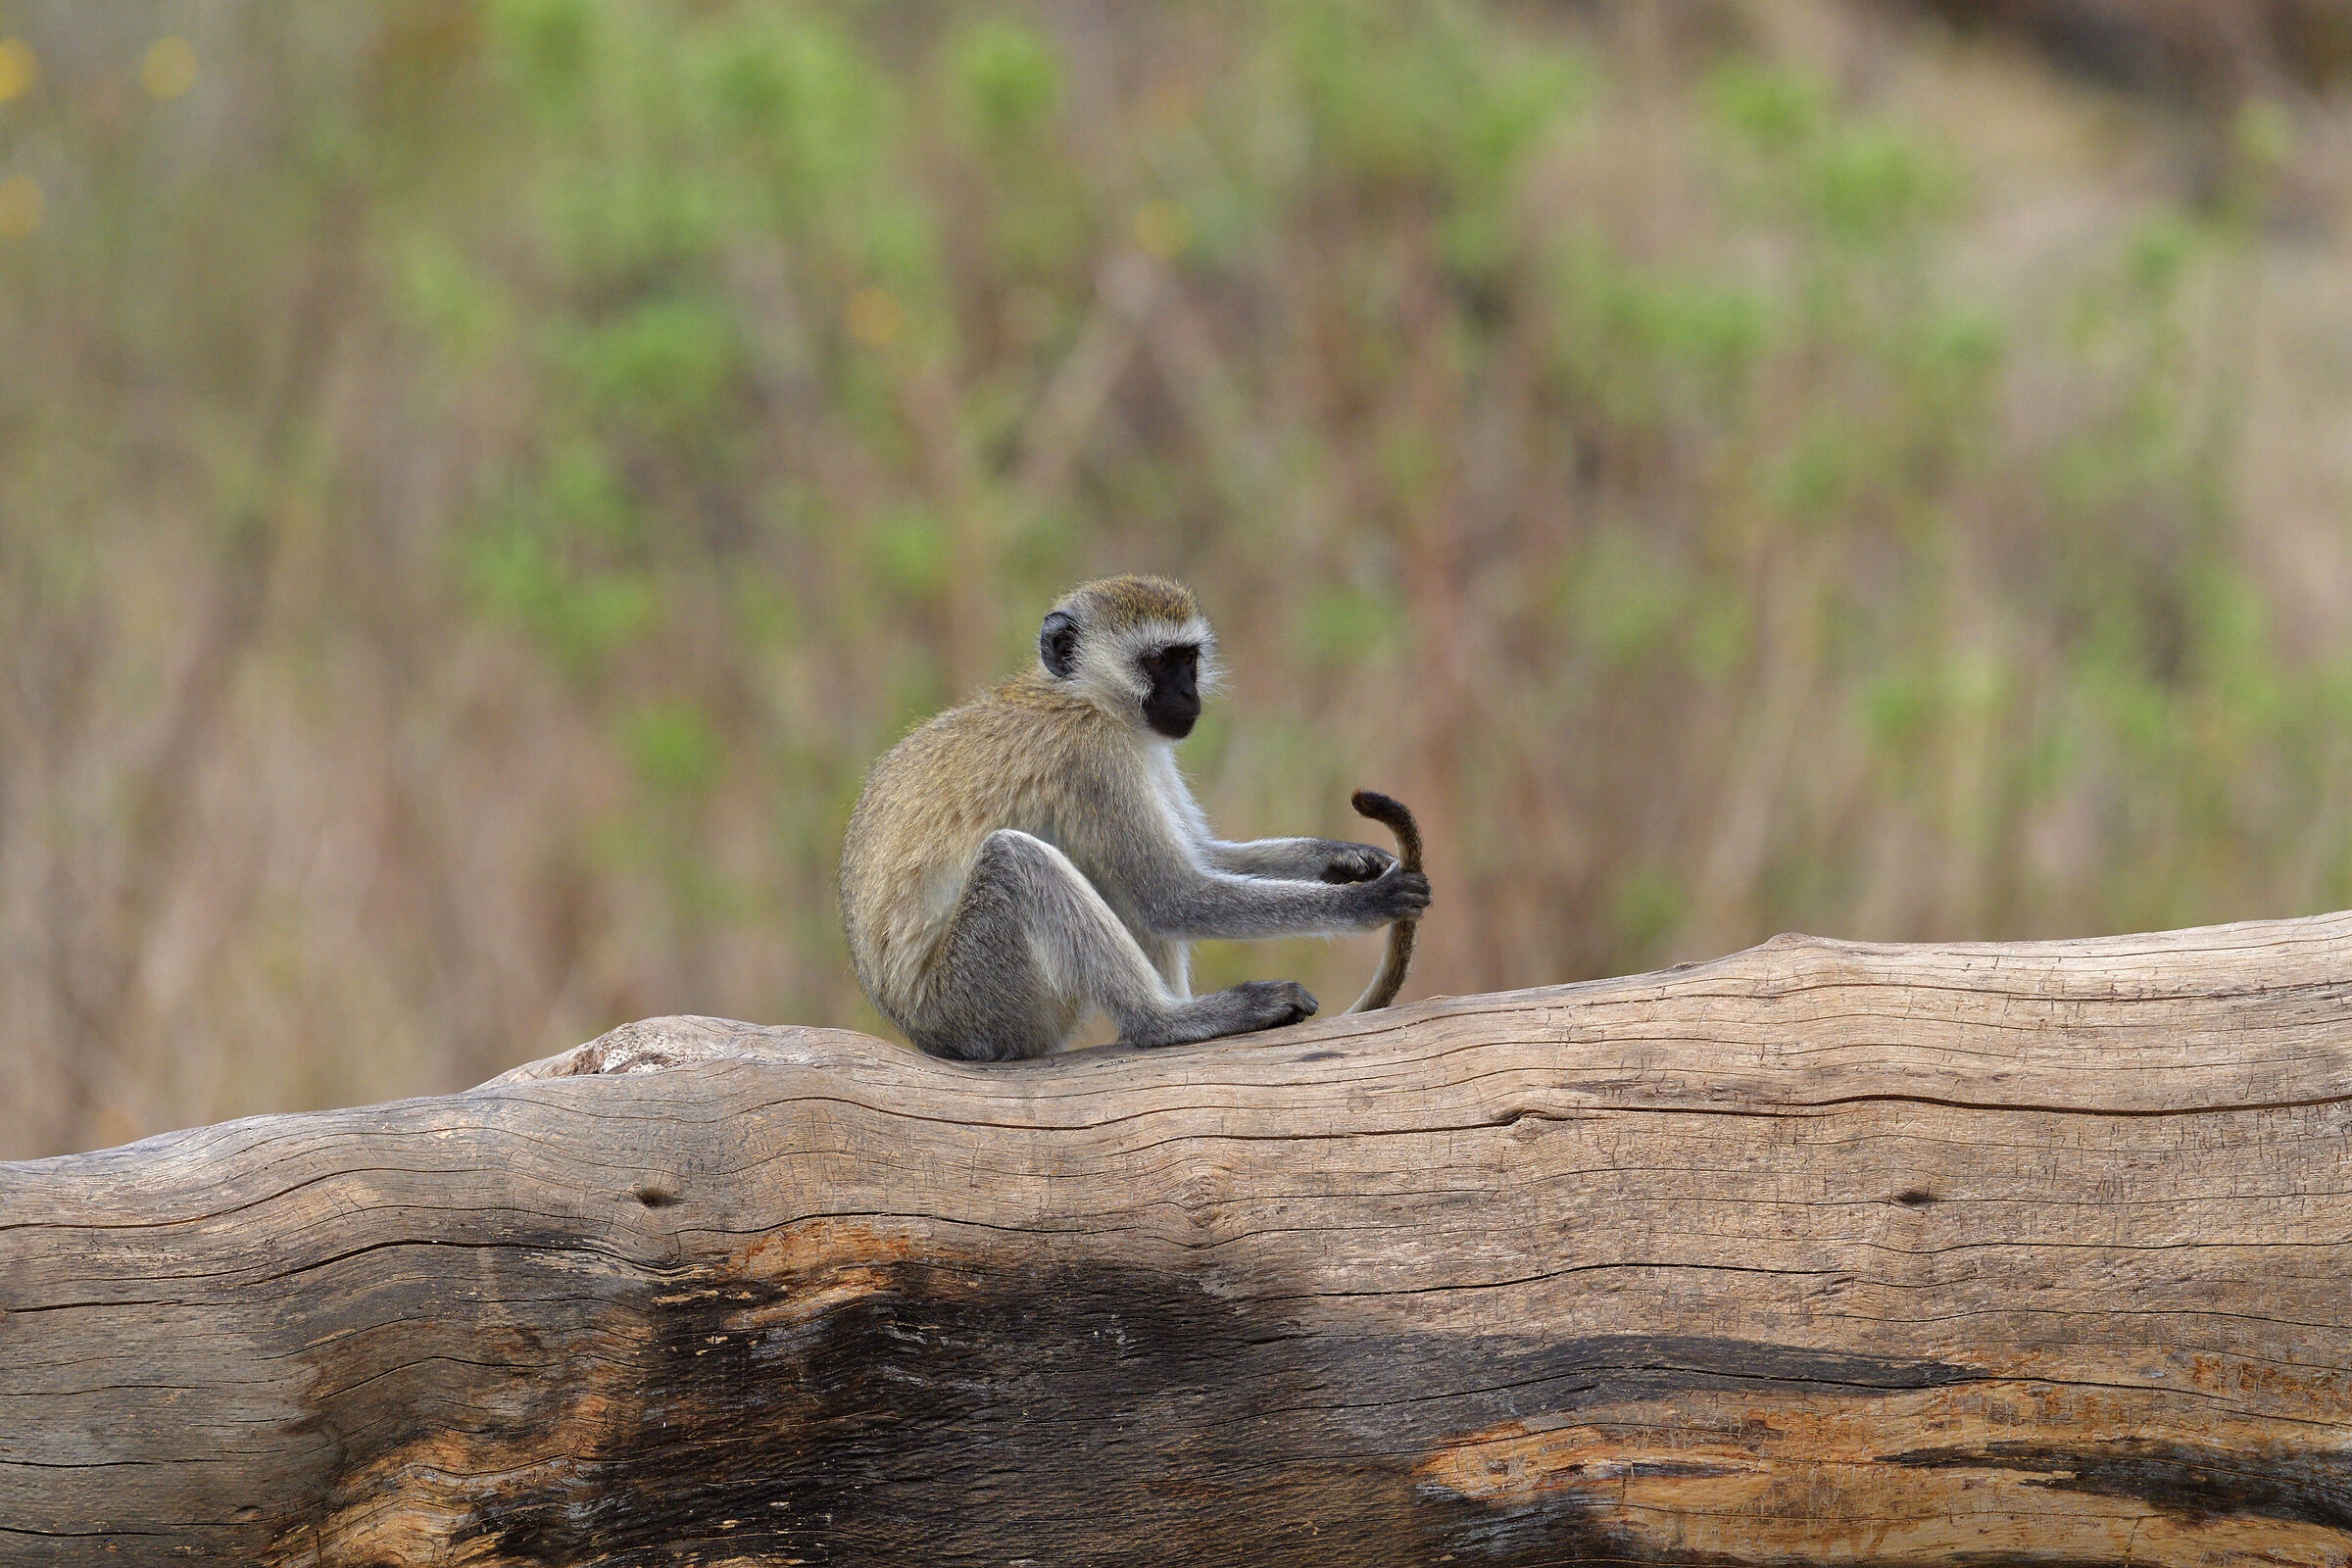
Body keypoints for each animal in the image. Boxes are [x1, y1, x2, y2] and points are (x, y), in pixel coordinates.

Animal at [840, 575, 1432, 1062]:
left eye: (1188, 659)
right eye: (1157, 663)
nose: (1188, 695)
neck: (1087, 698)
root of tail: (924, 1035)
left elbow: (1200, 855)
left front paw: (1343, 857)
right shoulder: (1091, 757)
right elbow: (1172, 893)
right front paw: (1366, 900)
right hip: (977, 1004)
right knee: (1019, 860)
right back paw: (1170, 1021)